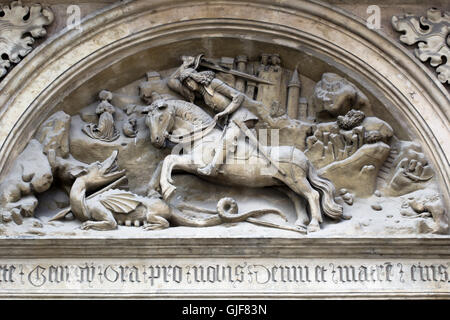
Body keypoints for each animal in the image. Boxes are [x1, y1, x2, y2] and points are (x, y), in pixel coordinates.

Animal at [144, 98, 344, 232]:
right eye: (148, 121)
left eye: (160, 118)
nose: (156, 141)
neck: (201, 136)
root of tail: (304, 157)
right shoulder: (189, 166)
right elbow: (162, 163)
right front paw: (153, 190)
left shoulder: (194, 164)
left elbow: (169, 160)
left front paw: (167, 188)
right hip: (283, 184)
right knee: (298, 199)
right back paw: (300, 224)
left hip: (297, 181)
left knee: (312, 195)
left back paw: (314, 225)